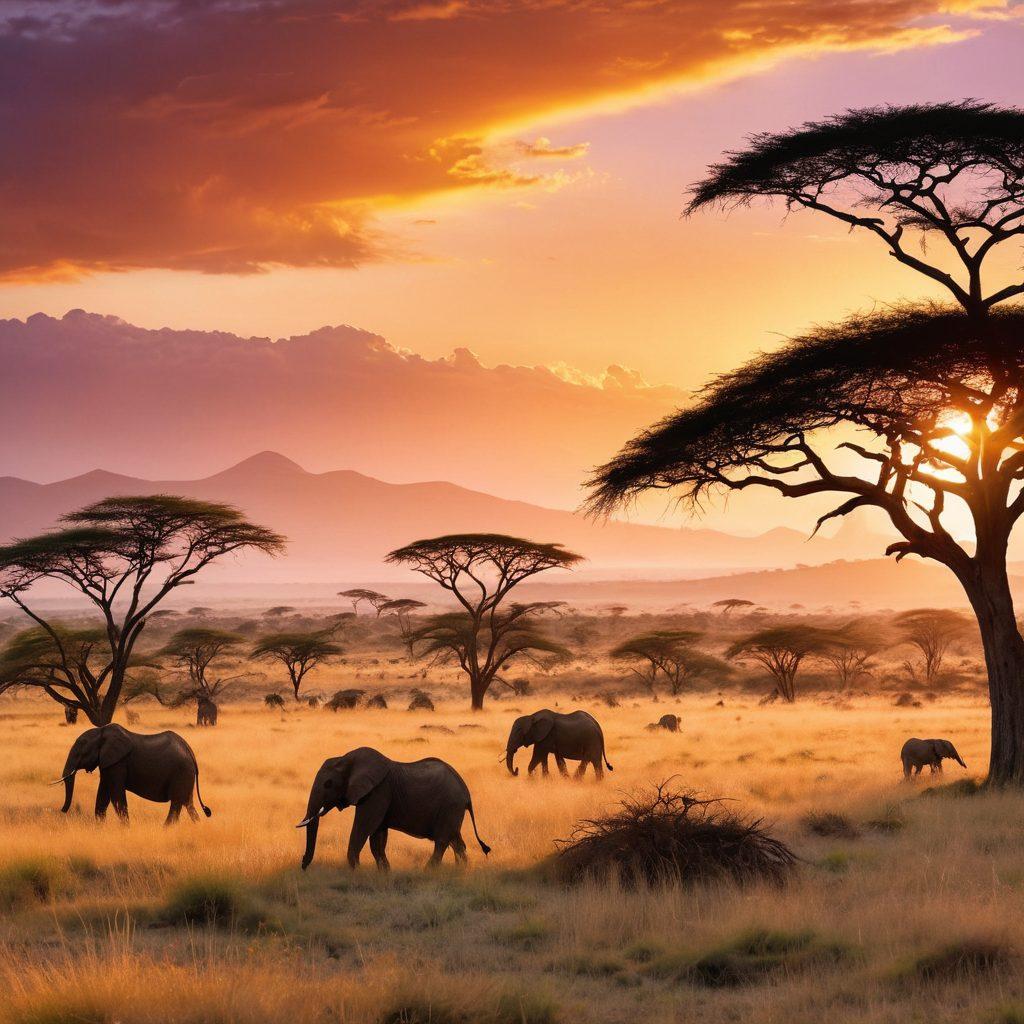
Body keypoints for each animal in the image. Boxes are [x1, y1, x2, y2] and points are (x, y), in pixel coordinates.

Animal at [55, 724, 212, 825]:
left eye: (80, 751)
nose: (62, 810)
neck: (101, 731)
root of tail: (190, 752)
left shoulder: (117, 763)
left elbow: (116, 796)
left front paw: (126, 829)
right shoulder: (108, 763)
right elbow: (102, 796)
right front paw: (100, 828)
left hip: (181, 772)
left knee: (177, 803)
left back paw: (165, 830)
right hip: (185, 774)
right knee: (188, 803)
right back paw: (197, 827)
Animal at [296, 747, 490, 871]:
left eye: (328, 784)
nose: (303, 865)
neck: (346, 757)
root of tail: (466, 792)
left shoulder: (378, 791)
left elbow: (363, 828)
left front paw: (355, 871)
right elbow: (378, 837)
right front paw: (384, 873)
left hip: (450, 806)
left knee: (442, 841)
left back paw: (428, 871)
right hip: (452, 810)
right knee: (456, 841)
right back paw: (460, 871)